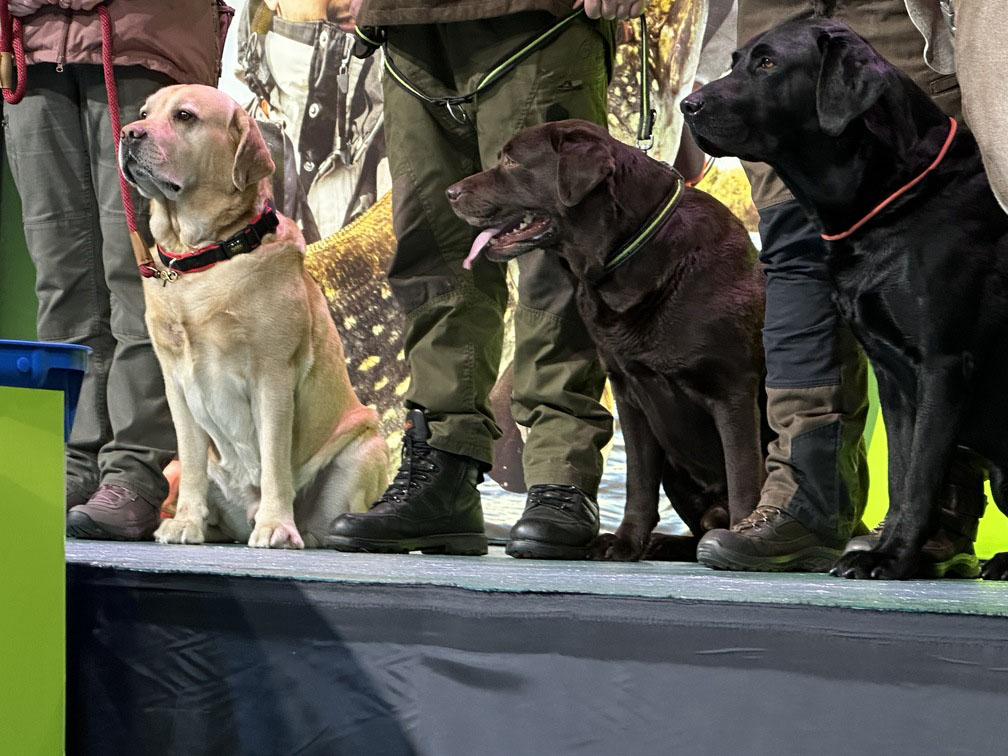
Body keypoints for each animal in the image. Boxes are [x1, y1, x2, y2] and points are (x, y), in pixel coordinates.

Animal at [119, 84, 389, 548]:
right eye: (144, 112)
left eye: (185, 116)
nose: (128, 133)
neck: (203, 256)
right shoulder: (177, 386)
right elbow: (193, 461)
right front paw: (186, 522)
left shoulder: (272, 376)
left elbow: (275, 459)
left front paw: (276, 524)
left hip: (366, 447)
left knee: (328, 524)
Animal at [448, 119, 768, 561]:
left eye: (511, 160)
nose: (450, 192)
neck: (630, 249)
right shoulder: (632, 395)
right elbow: (639, 484)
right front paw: (625, 543)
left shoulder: (734, 390)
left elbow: (743, 478)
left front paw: (741, 539)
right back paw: (665, 542)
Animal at [682, 17, 1008, 579]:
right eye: (735, 60)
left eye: (767, 63)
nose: (687, 105)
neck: (896, 194)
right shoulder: (894, 377)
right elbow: (901, 474)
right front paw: (885, 549)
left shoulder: (943, 364)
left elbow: (921, 477)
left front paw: (891, 558)